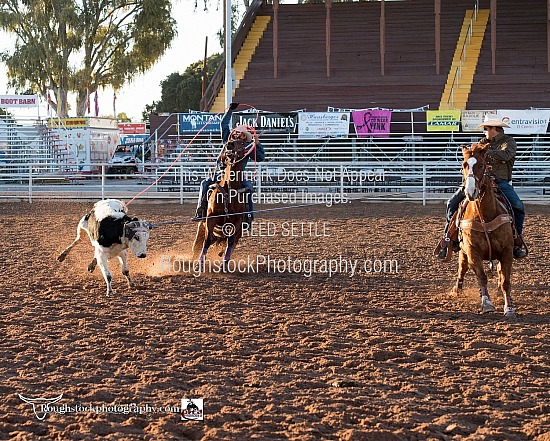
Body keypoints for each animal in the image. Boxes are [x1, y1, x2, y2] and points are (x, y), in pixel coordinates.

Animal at [452, 143, 516, 318]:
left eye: (481, 165)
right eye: (464, 165)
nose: (470, 192)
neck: (485, 217)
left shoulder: (507, 251)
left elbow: (505, 281)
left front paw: (509, 307)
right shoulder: (472, 251)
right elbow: (481, 277)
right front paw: (486, 303)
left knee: (500, 273)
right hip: (463, 252)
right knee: (462, 269)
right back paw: (457, 290)